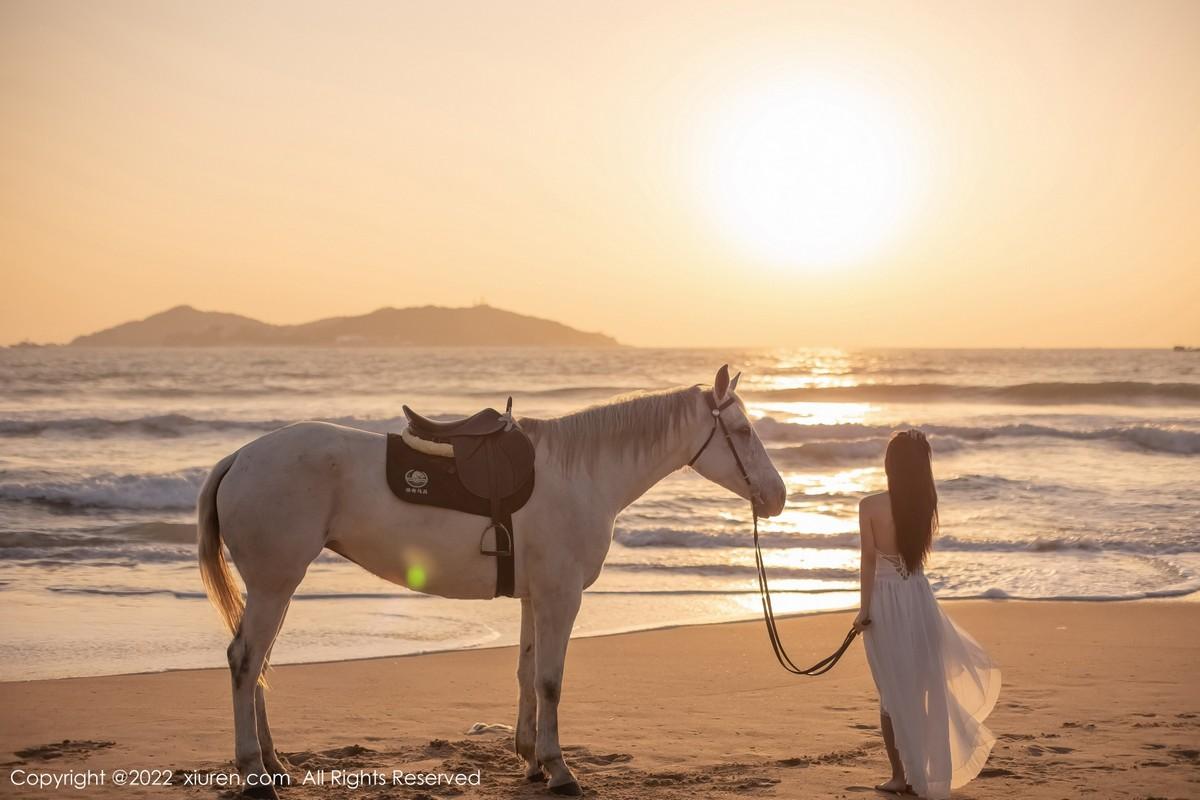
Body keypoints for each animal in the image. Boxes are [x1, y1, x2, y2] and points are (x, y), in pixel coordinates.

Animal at [196, 367, 787, 796]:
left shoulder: (535, 597)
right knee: (246, 661)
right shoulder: (560, 597)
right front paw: (559, 769)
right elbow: (550, 680)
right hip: (275, 585)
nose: (777, 496)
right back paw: (253, 773)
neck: (581, 474)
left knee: (258, 664)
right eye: (741, 431)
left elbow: (526, 673)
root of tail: (241, 457)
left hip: (278, 587)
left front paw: (531, 759)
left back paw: (273, 762)